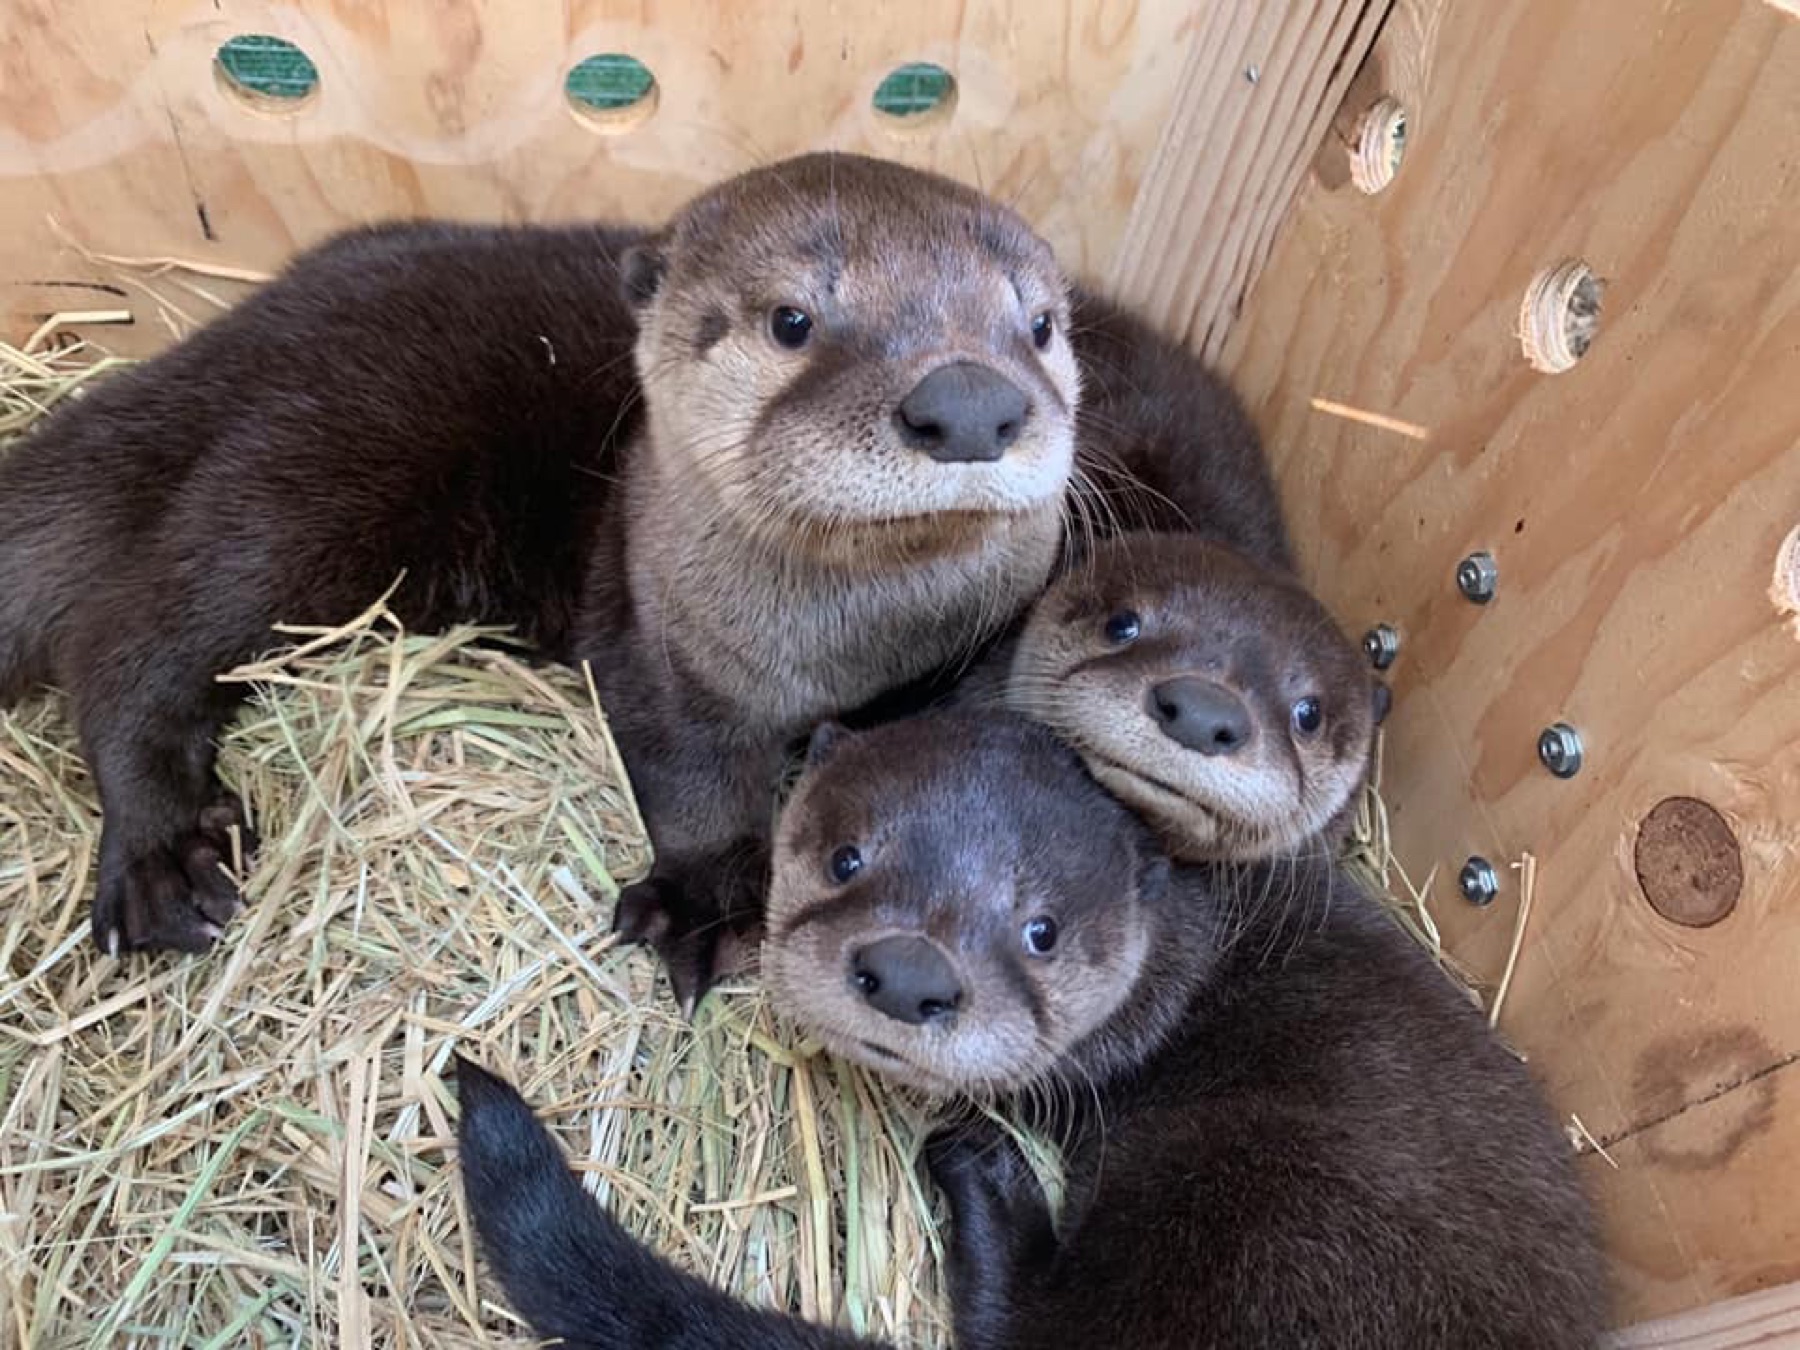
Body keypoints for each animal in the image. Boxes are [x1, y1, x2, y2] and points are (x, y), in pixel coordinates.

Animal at [0, 154, 1079, 987]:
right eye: (792, 321)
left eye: (1039, 326)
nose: (971, 401)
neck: (853, 649)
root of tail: (247, 332)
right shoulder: (654, 633)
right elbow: (689, 775)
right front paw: (707, 904)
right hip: (316, 476)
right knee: (133, 634)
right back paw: (167, 857)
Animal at [455, 712, 1606, 1348]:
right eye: (844, 858)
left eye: (1041, 932)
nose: (910, 973)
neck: (1195, 948)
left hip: (1254, 1218)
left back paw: (980, 1170)